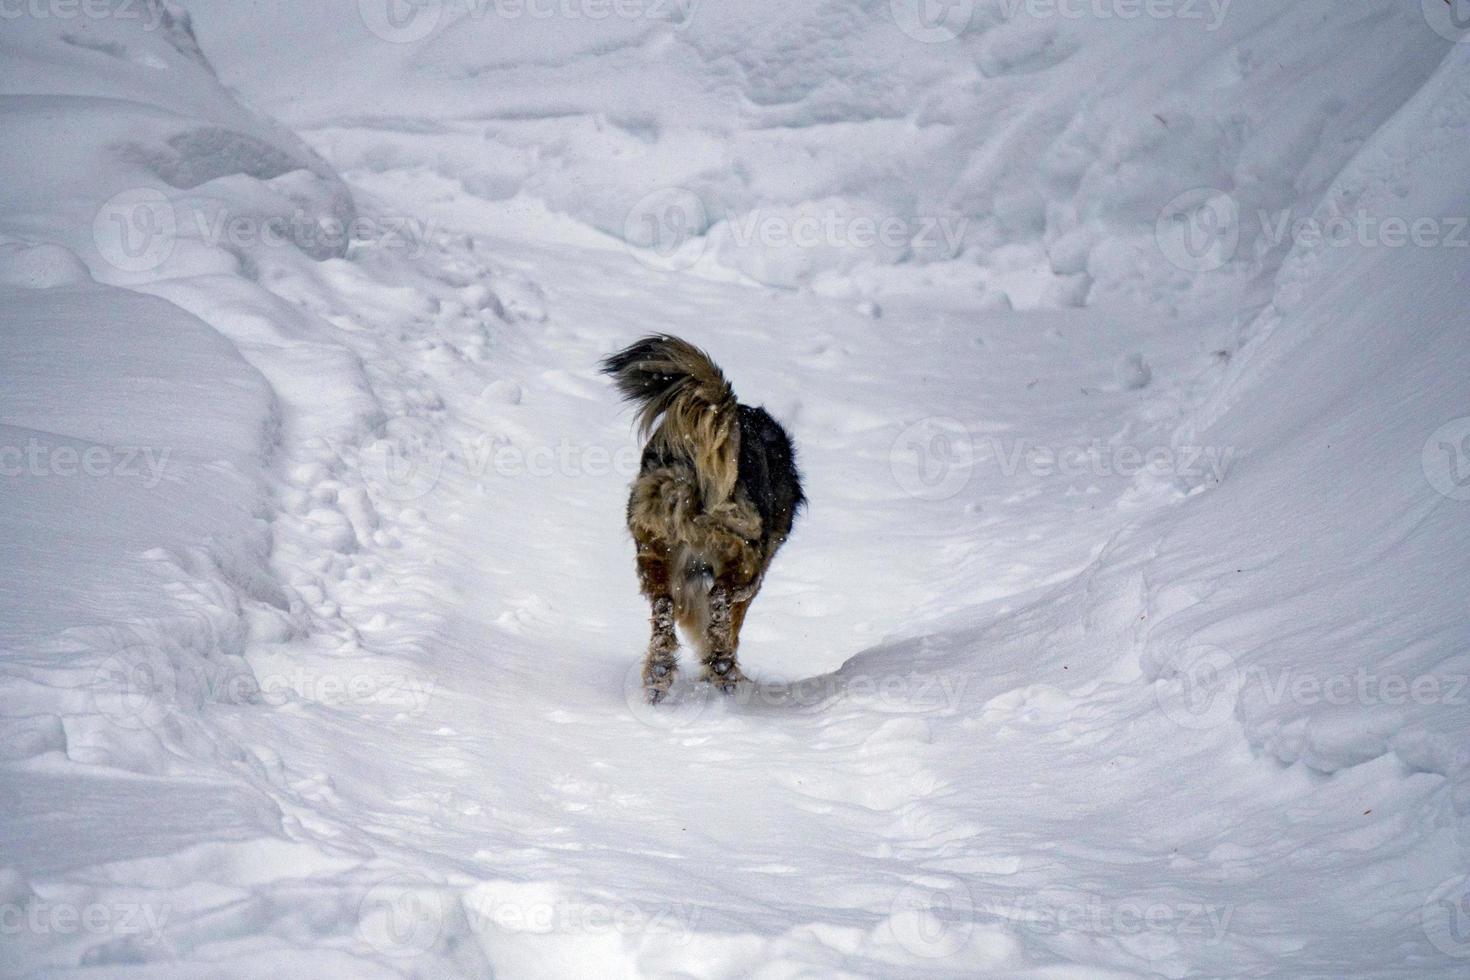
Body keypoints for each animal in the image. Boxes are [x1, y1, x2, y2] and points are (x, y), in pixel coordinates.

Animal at [596, 337, 805, 705]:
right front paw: (718, 665)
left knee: (663, 609)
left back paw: (659, 673)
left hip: (654, 548)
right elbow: (729, 623)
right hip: (741, 552)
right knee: (721, 601)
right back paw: (724, 671)